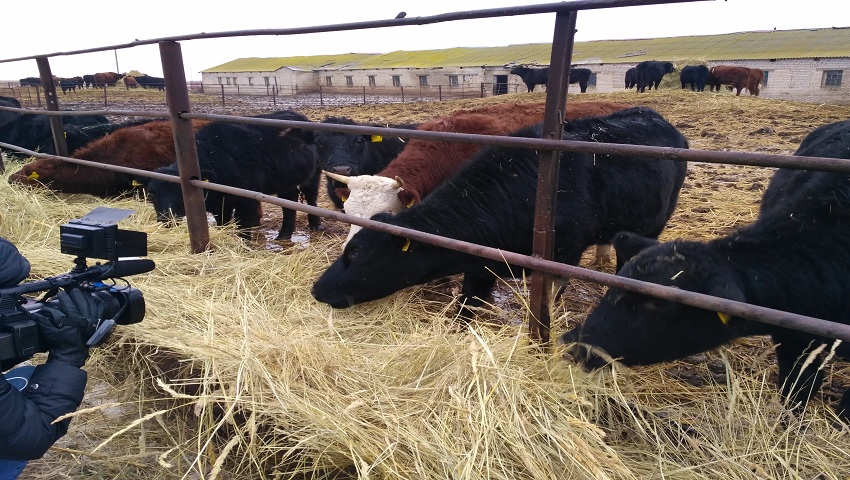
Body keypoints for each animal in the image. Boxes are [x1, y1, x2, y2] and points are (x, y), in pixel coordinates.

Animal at [144, 110, 320, 242]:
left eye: (183, 193)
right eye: (152, 194)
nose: (166, 219)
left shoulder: (247, 201)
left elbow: (243, 225)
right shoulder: (220, 204)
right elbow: (222, 222)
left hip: (313, 176)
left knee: (311, 198)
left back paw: (315, 224)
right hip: (286, 181)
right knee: (289, 203)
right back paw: (284, 235)